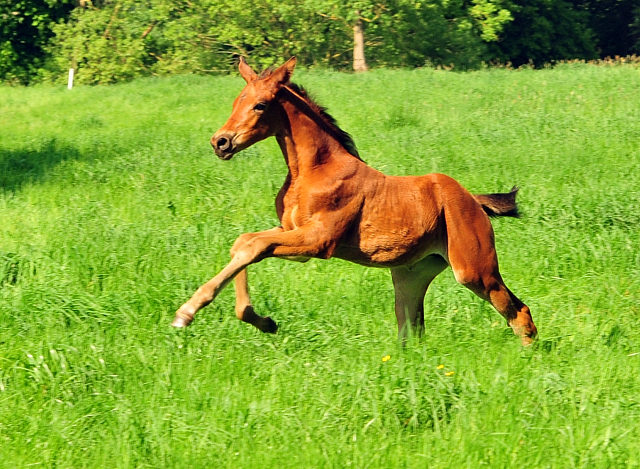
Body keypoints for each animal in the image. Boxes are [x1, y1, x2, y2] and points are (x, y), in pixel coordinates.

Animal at [172, 56, 536, 346]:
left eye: (260, 105)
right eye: (237, 101)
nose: (220, 142)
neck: (313, 171)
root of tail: (473, 200)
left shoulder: (319, 241)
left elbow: (252, 245)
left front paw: (186, 312)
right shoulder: (291, 235)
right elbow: (245, 244)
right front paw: (262, 321)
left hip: (473, 270)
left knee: (520, 313)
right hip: (410, 275)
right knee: (412, 331)